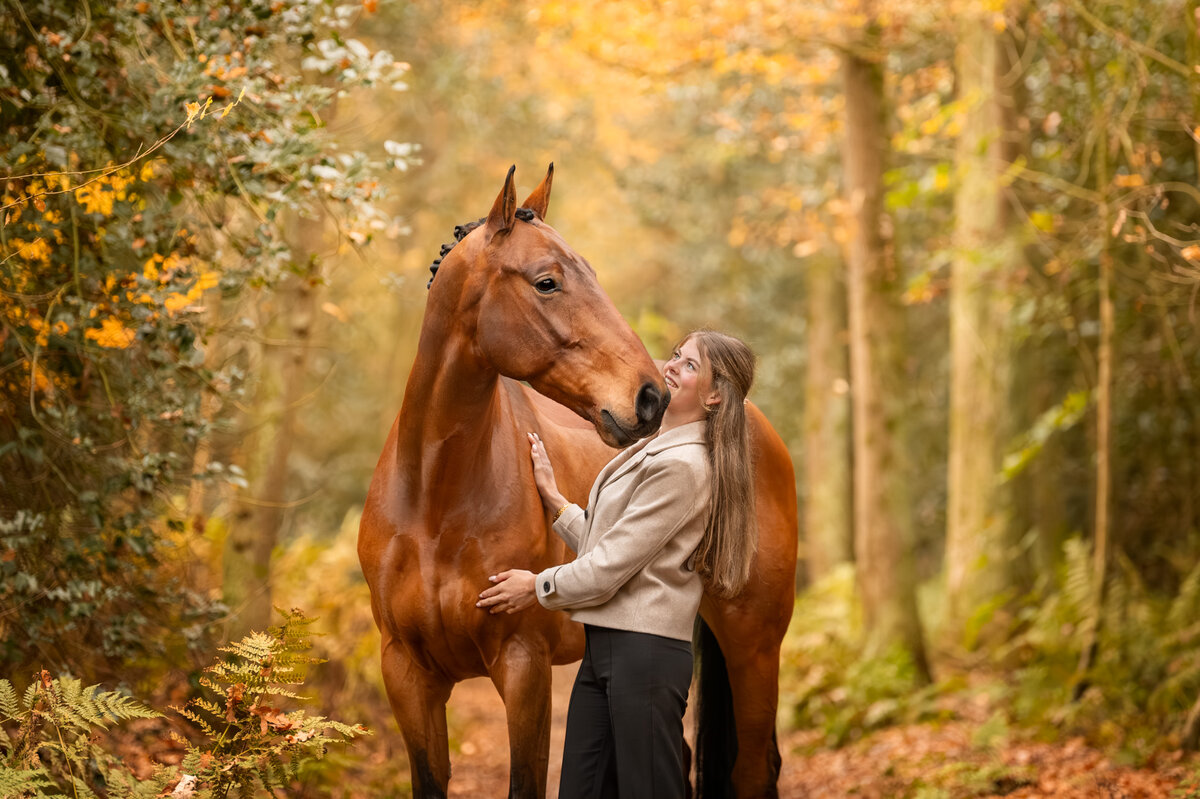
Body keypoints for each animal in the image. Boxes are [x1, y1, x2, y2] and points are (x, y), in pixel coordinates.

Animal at [358, 164, 798, 798]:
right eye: (547, 282)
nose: (651, 396)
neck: (433, 503)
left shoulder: (523, 666)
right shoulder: (407, 675)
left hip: (754, 648)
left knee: (753, 770)